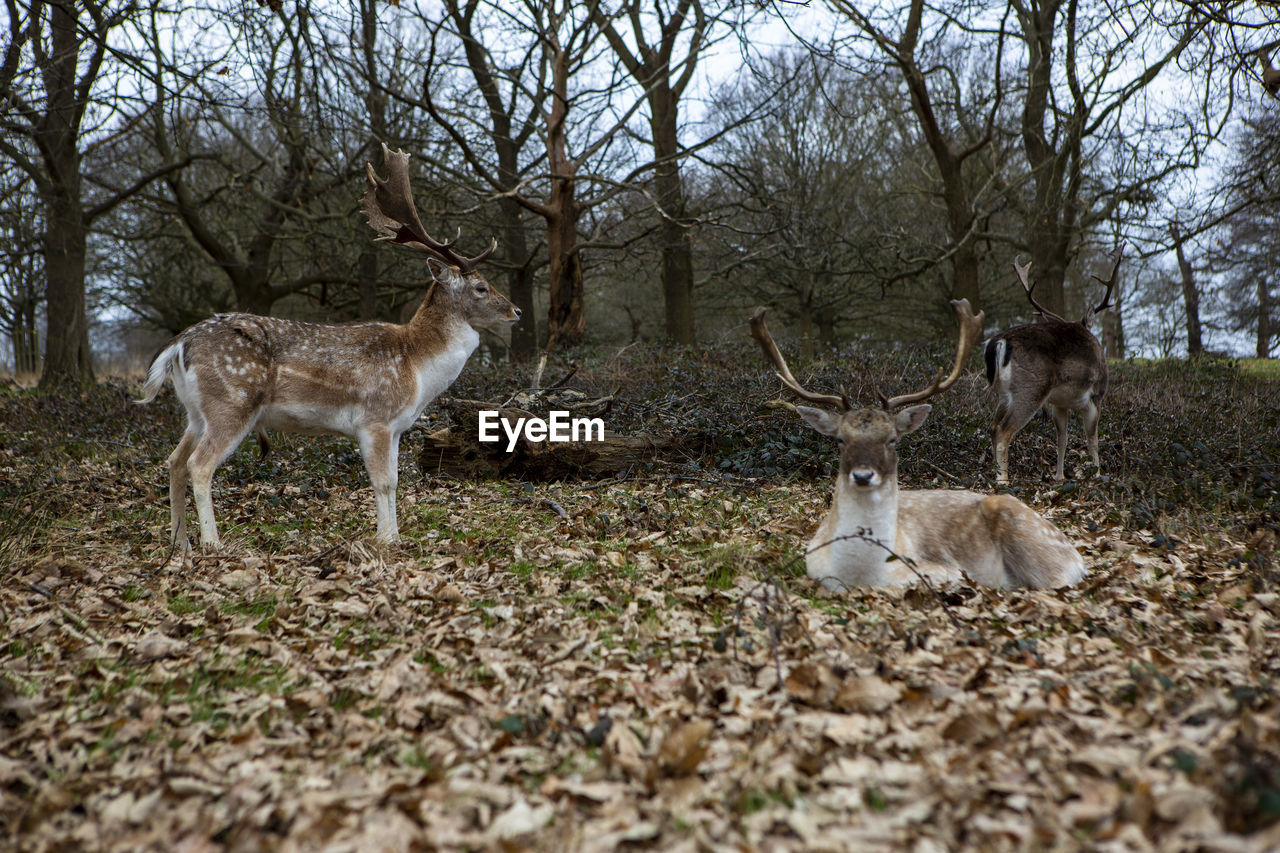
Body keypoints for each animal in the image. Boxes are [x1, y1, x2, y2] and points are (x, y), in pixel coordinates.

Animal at [136, 144, 519, 545]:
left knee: (175, 461)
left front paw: (396, 537)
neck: (417, 367)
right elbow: (383, 482)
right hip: (232, 402)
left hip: (196, 411)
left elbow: (396, 481)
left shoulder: (397, 428)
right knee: (199, 465)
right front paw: (387, 540)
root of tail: (179, 344)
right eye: (481, 287)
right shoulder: (375, 418)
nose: (517, 310)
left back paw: (180, 543)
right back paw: (212, 543)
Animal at [977, 245, 1121, 484]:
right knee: (1003, 430)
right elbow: (1092, 439)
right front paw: (1098, 475)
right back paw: (1003, 480)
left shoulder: (1060, 403)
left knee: (992, 428)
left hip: (1004, 394)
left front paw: (1059, 476)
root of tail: (998, 342)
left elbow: (1062, 439)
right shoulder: (1096, 396)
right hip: (1031, 389)